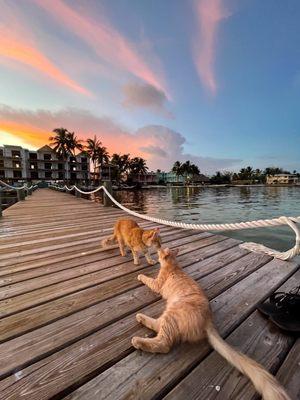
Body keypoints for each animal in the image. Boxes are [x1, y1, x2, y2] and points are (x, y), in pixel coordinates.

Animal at [132, 247, 290, 400]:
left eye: (159, 250)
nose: (157, 250)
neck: (174, 266)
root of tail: (208, 320)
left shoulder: (157, 283)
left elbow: (147, 279)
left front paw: (140, 276)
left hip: (170, 314)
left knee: (163, 343)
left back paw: (138, 335)